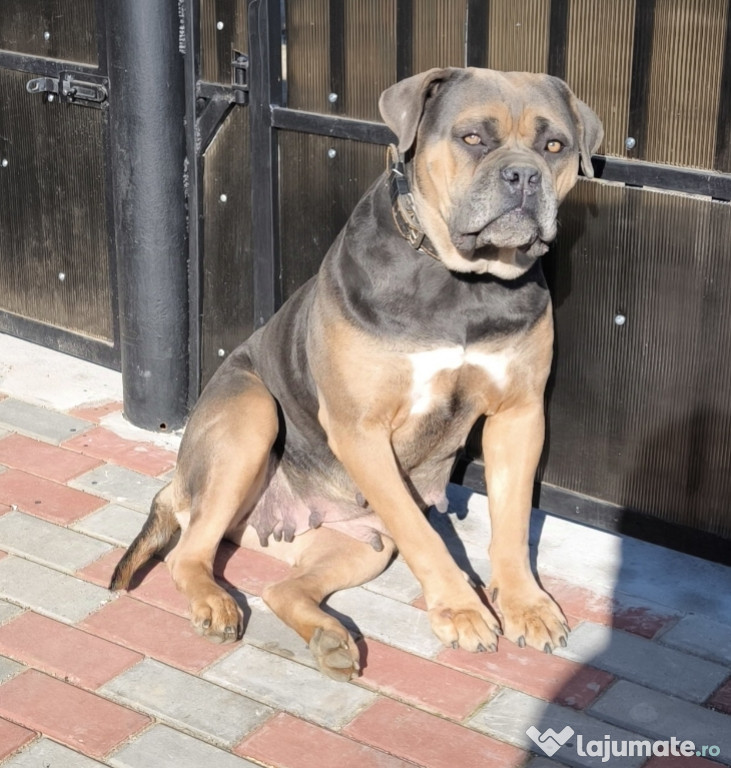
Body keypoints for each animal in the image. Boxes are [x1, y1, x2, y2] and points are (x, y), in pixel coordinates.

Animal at [111, 70, 604, 684]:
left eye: (554, 145)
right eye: (472, 138)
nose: (524, 175)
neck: (463, 282)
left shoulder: (519, 415)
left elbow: (511, 522)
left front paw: (526, 604)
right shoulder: (360, 429)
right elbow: (424, 534)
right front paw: (461, 609)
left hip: (360, 545)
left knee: (281, 588)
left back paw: (331, 640)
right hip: (247, 418)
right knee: (187, 554)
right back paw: (216, 605)